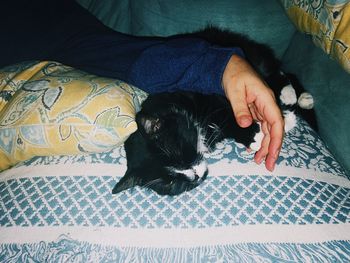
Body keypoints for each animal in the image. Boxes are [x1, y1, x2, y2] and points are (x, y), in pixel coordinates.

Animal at [113, 27, 318, 196]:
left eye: (179, 153)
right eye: (169, 182)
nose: (194, 176)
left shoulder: (218, 95)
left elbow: (232, 114)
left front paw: (272, 127)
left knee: (280, 74)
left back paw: (295, 97)